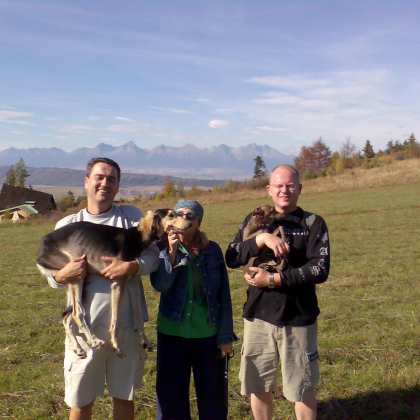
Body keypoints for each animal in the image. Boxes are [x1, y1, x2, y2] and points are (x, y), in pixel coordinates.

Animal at [37, 208, 192, 360]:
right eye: (171, 215)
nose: (189, 224)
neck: (137, 237)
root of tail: (42, 243)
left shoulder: (133, 281)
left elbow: (138, 316)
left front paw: (145, 341)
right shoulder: (118, 282)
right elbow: (116, 320)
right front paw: (117, 347)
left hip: (74, 280)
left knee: (66, 317)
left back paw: (78, 348)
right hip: (77, 272)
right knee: (77, 313)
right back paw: (94, 340)